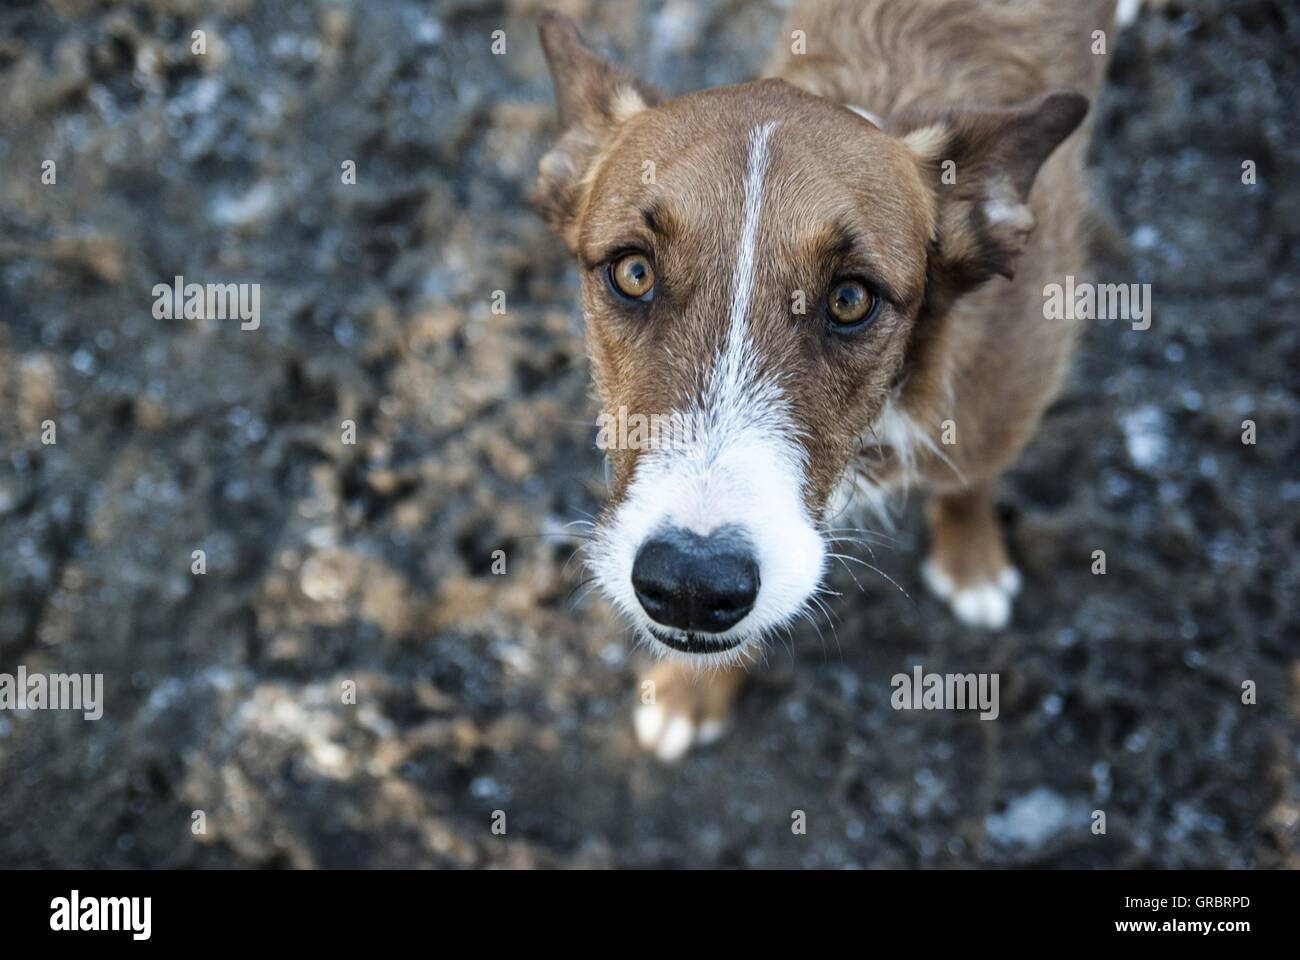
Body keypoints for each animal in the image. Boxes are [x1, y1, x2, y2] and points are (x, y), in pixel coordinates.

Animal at [533, 1, 1112, 764]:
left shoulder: (1003, 405)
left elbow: (969, 479)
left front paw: (972, 557)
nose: (690, 587)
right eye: (633, 272)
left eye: (850, 299)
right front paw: (690, 689)